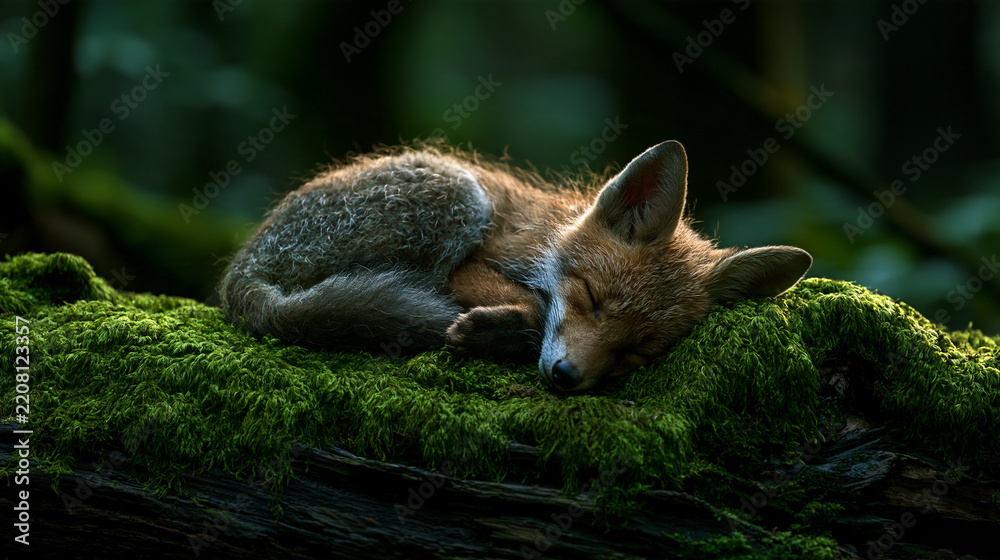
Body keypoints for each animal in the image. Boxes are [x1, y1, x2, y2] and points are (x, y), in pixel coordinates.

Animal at [219, 140, 812, 392]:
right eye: (590, 299)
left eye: (637, 351)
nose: (566, 378)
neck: (549, 236)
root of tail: (239, 279)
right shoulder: (472, 264)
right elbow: (532, 301)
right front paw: (498, 328)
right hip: (458, 193)